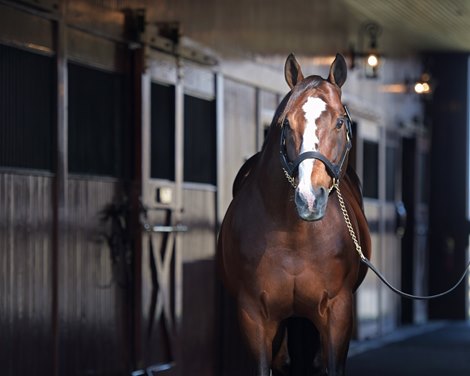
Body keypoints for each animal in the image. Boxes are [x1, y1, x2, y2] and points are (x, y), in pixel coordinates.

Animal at [217, 53, 370, 376]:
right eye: (286, 123)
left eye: (340, 122)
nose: (309, 198)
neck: (295, 238)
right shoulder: (254, 316)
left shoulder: (337, 314)